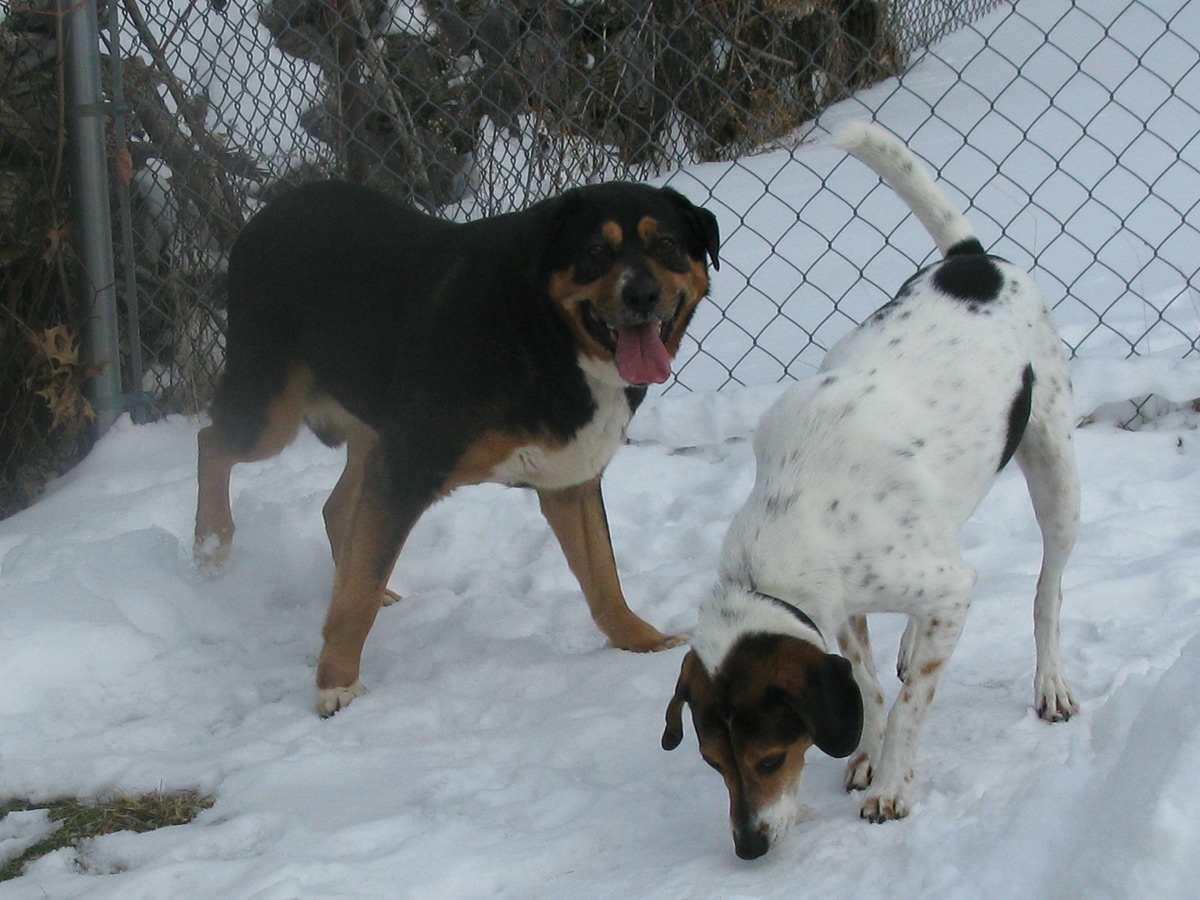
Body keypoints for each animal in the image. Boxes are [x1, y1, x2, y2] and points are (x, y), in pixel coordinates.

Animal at [194, 179, 719, 717]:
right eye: (595, 251)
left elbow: (604, 578)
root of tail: (272, 208)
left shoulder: (569, 480)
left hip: (373, 431)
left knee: (336, 506)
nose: (642, 294)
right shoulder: (406, 467)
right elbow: (356, 597)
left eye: (667, 245)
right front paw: (335, 685)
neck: (543, 333)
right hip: (269, 410)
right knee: (212, 443)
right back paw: (211, 547)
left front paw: (643, 641)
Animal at [662, 122, 1080, 859]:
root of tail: (974, 259)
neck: (789, 521)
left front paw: (890, 782)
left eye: (770, 760)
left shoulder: (944, 584)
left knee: (1047, 591)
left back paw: (1050, 679)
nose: (748, 848)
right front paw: (864, 751)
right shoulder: (847, 604)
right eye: (713, 762)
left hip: (1056, 470)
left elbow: (911, 706)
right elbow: (867, 681)